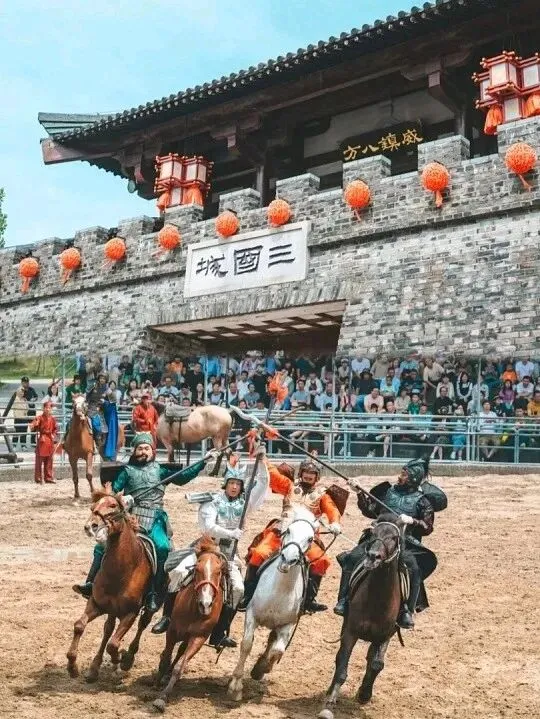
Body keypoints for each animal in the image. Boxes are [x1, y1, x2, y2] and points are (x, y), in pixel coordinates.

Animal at [66, 489, 154, 682]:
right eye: (93, 506)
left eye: (113, 505)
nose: (91, 526)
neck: (121, 572)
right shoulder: (96, 604)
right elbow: (79, 625)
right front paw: (72, 666)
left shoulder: (130, 613)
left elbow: (113, 644)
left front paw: (119, 658)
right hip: (111, 610)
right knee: (108, 630)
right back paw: (94, 667)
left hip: (149, 609)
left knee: (142, 625)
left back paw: (127, 658)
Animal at [152, 536, 228, 713]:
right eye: (197, 569)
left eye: (218, 572)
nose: (205, 604)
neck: (194, 611)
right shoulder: (172, 631)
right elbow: (166, 657)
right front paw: (157, 682)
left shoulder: (198, 638)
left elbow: (180, 666)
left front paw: (163, 697)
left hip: (188, 637)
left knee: (180, 651)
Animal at [228, 503, 319, 702]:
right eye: (289, 530)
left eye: (310, 538)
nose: (288, 559)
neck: (280, 591)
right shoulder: (252, 615)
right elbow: (246, 644)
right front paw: (236, 685)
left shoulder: (287, 624)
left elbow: (277, 651)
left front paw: (261, 668)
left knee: (273, 643)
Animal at [318, 514, 403, 719]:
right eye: (373, 533)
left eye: (394, 537)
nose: (373, 556)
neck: (377, 600)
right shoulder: (351, 632)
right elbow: (342, 665)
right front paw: (329, 704)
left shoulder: (385, 636)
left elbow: (377, 664)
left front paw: (364, 694)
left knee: (372, 660)